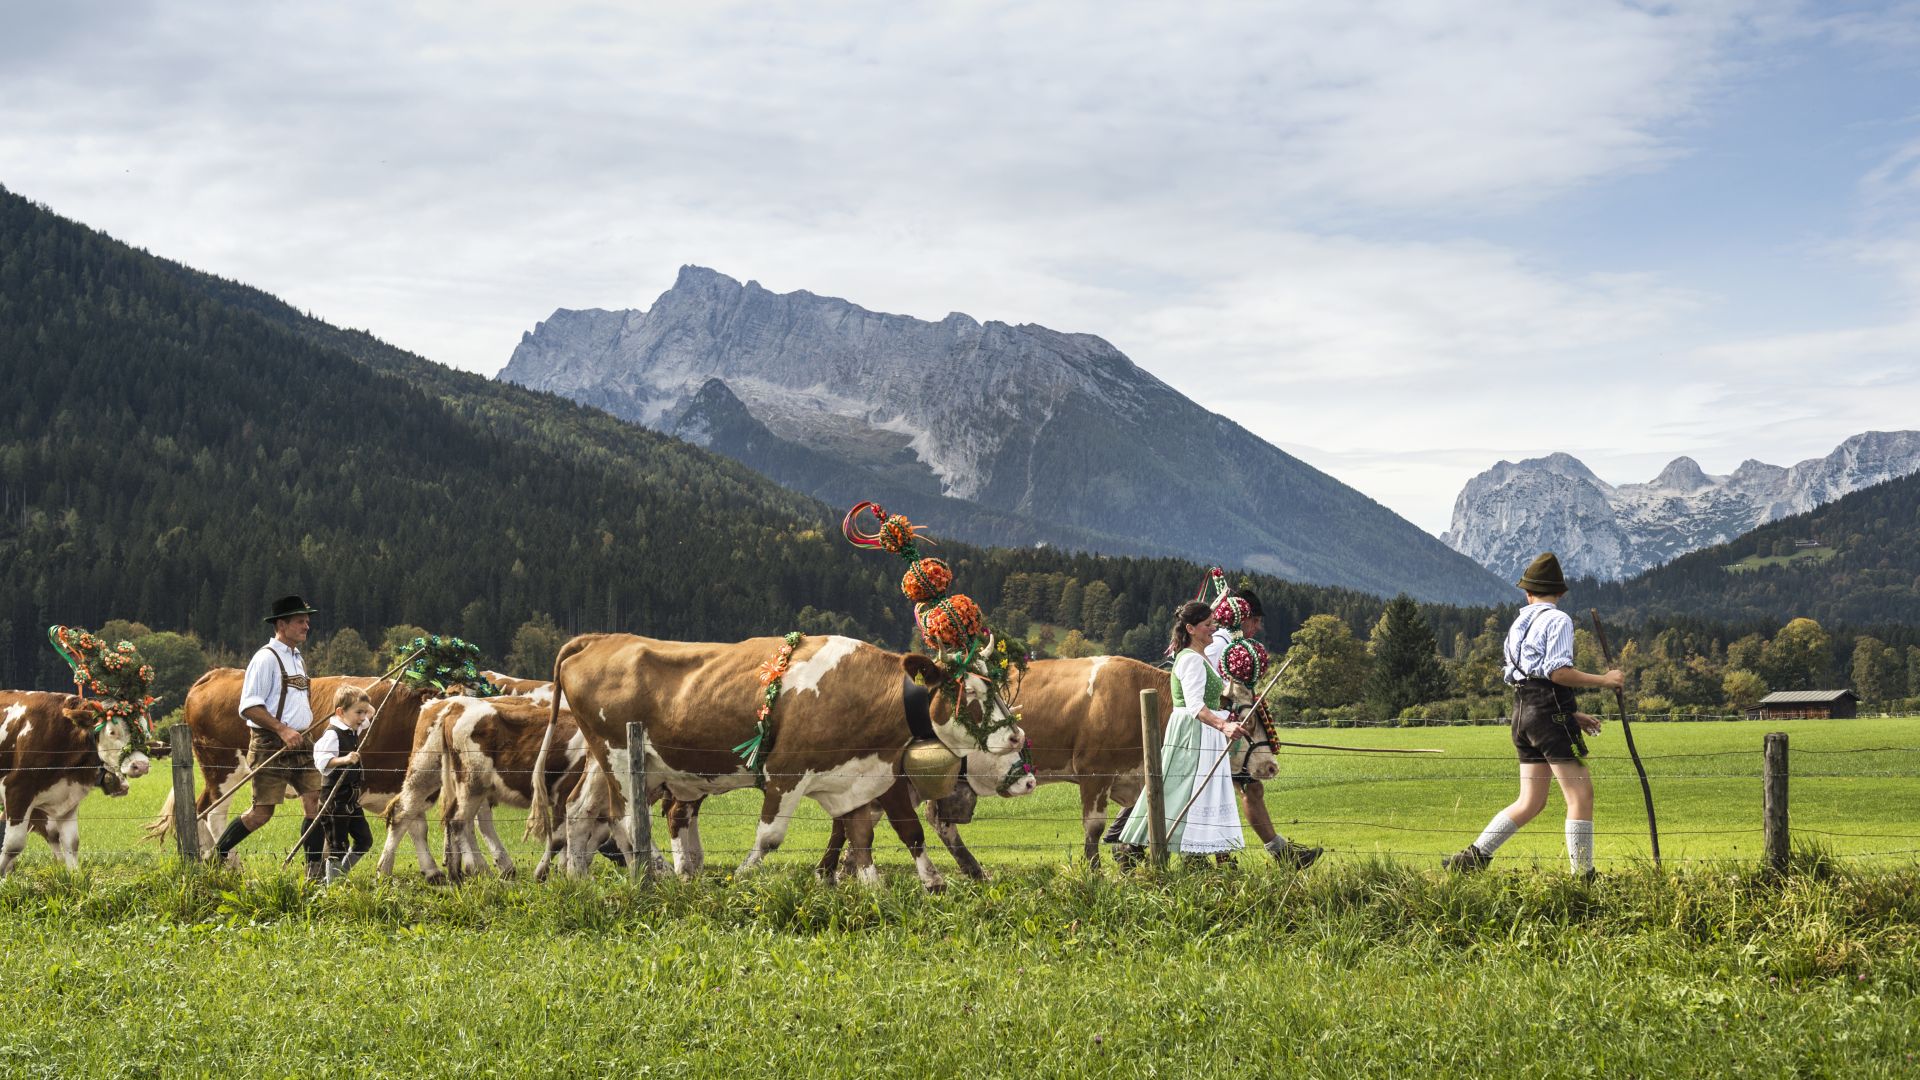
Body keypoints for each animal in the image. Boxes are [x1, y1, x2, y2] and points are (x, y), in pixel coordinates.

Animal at [0, 687, 151, 876]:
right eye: (112, 732)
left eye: (145, 731)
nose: (141, 765)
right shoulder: (17, 790)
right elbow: (13, 845)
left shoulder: (67, 798)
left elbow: (71, 842)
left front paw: (75, 878)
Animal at [145, 668, 439, 853]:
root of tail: (217, 673)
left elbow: (416, 827)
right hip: (223, 768)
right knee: (213, 813)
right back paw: (231, 864)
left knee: (198, 809)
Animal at [541, 630, 1036, 883]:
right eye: (970, 695)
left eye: (997, 686)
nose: (1016, 737)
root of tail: (600, 638)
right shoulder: (786, 771)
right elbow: (771, 837)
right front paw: (741, 878)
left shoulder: (856, 777)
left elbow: (866, 835)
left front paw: (878, 889)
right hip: (621, 758)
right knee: (623, 819)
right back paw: (659, 872)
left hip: (602, 760)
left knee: (581, 812)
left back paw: (579, 882)